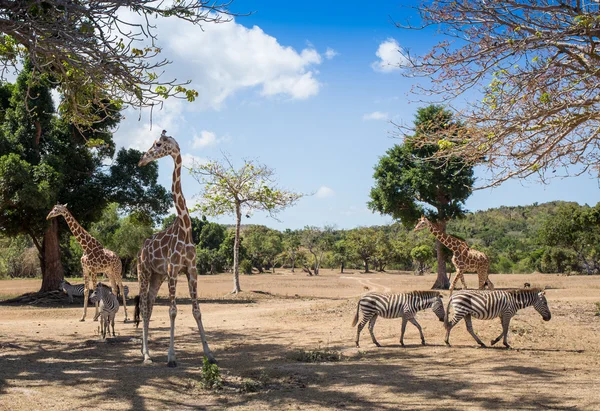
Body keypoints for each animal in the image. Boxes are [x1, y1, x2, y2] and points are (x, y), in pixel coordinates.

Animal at [135, 130, 214, 366]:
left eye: (158, 144)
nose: (141, 160)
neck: (185, 227)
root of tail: (140, 250)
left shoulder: (191, 270)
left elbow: (196, 311)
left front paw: (209, 354)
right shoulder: (173, 270)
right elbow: (172, 311)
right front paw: (171, 356)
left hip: (156, 277)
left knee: (149, 306)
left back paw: (145, 351)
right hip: (144, 272)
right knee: (144, 307)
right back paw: (146, 355)